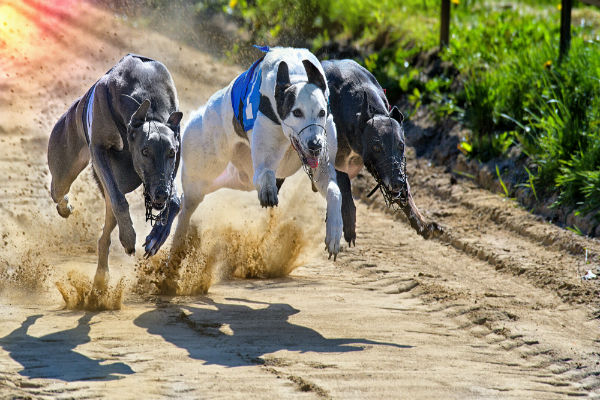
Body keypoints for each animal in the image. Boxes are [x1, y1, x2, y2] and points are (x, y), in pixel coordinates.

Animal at [47, 54, 183, 290]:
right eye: (145, 151)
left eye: (171, 153)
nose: (160, 194)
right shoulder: (99, 150)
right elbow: (120, 201)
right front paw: (129, 237)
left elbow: (175, 201)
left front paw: (156, 237)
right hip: (66, 166)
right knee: (58, 190)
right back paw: (65, 206)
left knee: (104, 236)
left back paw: (102, 276)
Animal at [166, 47, 342, 260]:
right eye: (297, 112)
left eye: (322, 112)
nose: (315, 145)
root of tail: (197, 115)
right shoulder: (264, 161)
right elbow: (265, 173)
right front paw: (268, 190)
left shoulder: (322, 167)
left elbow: (334, 191)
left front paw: (334, 233)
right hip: (202, 173)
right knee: (186, 205)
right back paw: (173, 249)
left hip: (240, 178)